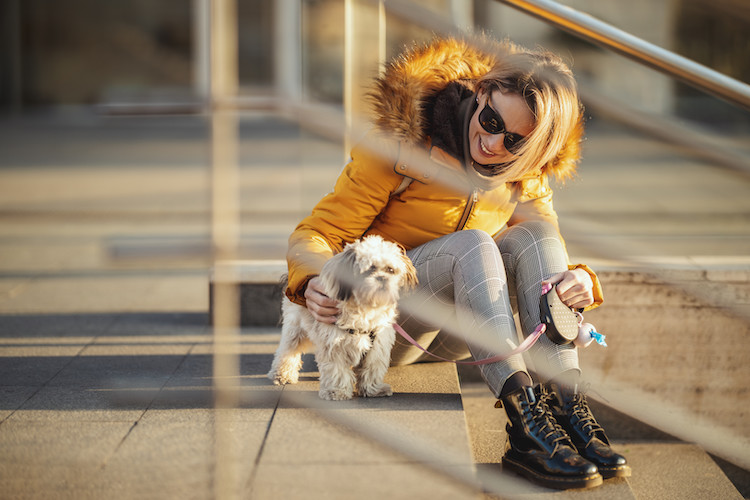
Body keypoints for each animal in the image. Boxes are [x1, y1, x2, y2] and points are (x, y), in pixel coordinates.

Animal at [268, 235, 418, 402]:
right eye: (369, 269)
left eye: (390, 270)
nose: (382, 278)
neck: (365, 309)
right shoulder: (334, 345)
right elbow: (337, 371)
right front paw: (336, 391)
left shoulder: (378, 346)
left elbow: (372, 368)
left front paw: (373, 389)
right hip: (295, 329)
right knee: (287, 351)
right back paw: (282, 374)